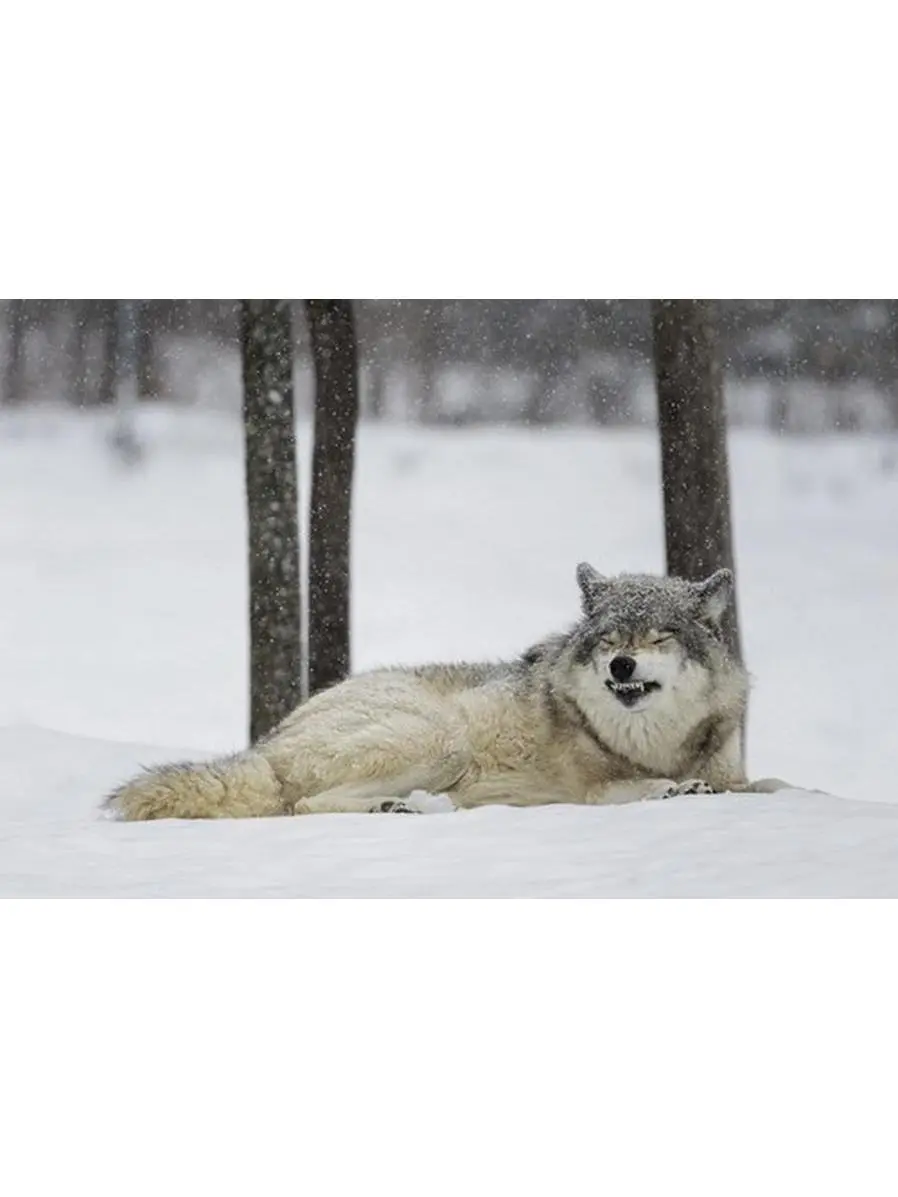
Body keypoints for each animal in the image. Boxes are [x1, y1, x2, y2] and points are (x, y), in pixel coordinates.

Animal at [104, 564, 792, 822]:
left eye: (657, 636)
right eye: (607, 640)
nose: (621, 666)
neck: (656, 740)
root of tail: (268, 741)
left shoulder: (733, 768)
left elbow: (773, 785)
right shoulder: (589, 788)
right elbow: (633, 789)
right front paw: (673, 788)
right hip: (441, 739)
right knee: (301, 805)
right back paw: (403, 808)